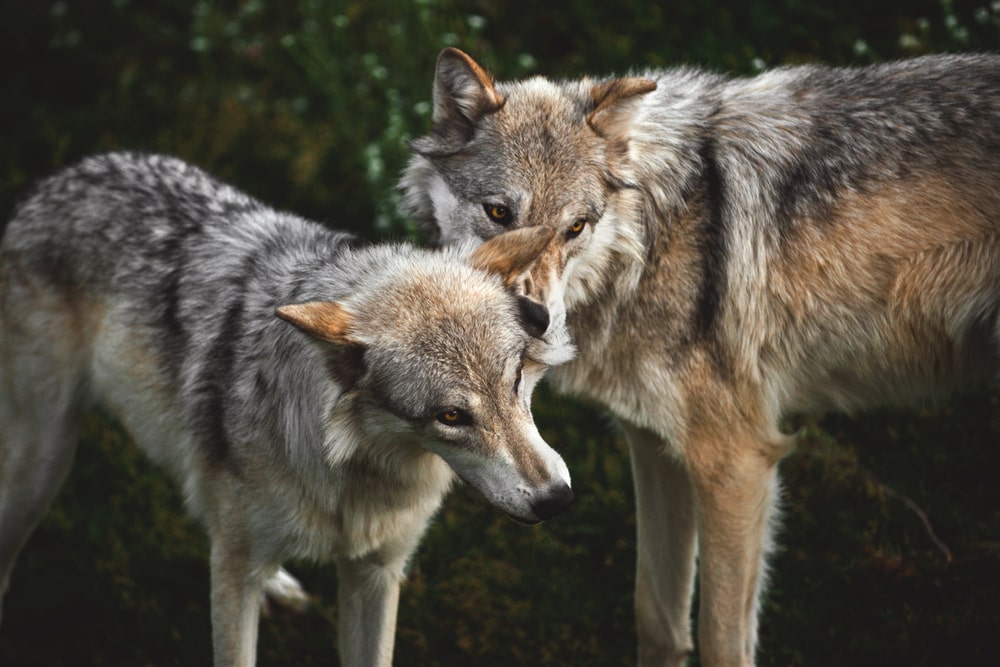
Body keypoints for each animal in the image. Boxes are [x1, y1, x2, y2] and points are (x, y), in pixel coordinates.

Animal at [0, 152, 576, 666]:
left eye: (515, 381)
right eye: (451, 416)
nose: (557, 500)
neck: (356, 475)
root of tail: (56, 180)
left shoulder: (377, 573)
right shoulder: (238, 579)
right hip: (44, 464)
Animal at [401, 48, 1000, 666]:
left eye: (575, 227)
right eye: (498, 212)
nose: (536, 320)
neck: (653, 240)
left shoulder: (735, 461)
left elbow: (718, 641)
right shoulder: (654, 447)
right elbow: (658, 619)